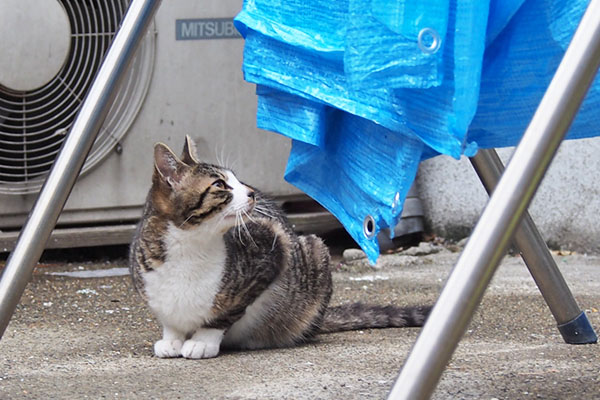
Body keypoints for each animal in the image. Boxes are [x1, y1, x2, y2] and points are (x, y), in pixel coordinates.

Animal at [129, 136, 428, 358]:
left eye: (236, 179)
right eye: (220, 185)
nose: (251, 192)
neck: (190, 246)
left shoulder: (272, 251)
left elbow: (226, 313)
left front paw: (203, 340)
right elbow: (170, 318)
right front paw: (172, 339)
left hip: (315, 251)